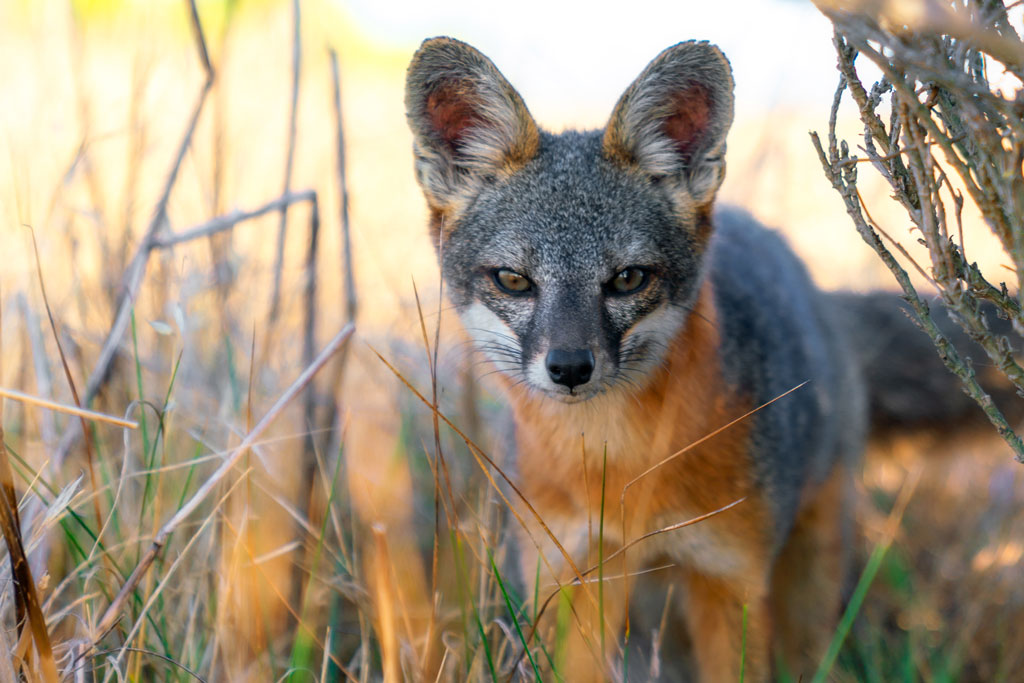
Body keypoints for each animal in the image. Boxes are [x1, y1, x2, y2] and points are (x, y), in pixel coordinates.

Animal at [405, 38, 1015, 683]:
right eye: (514, 280)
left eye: (627, 279)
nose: (570, 368)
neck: (618, 469)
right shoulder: (571, 574)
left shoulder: (729, 576)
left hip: (806, 571)